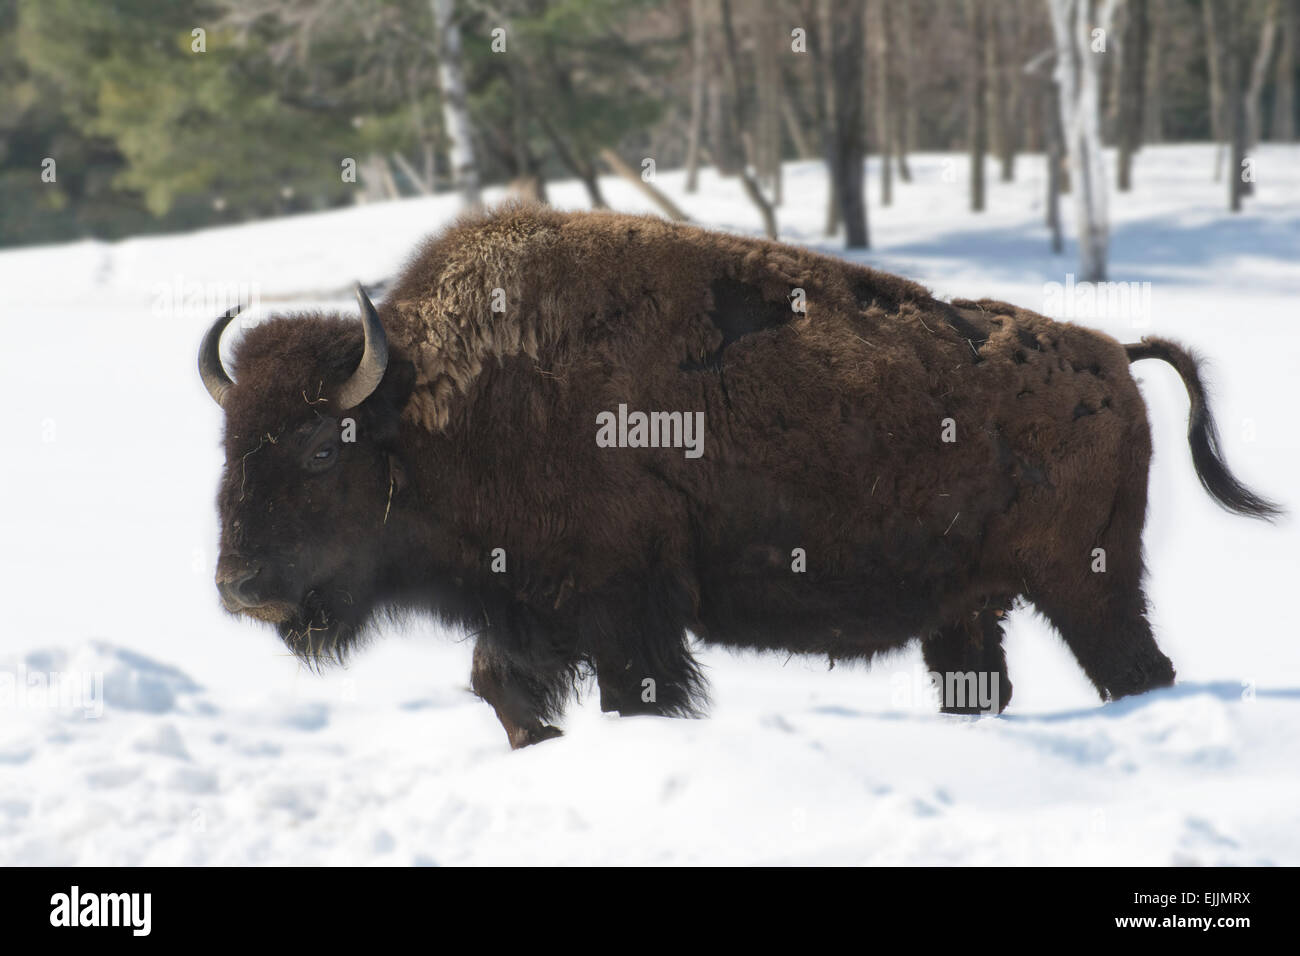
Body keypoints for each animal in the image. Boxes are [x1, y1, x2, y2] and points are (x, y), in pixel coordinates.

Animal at [200, 205, 1279, 749]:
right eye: (227, 442)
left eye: (320, 445)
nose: (241, 587)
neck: (436, 401)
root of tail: (1111, 356)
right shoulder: (527, 609)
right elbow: (503, 692)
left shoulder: (625, 606)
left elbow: (635, 696)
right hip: (970, 607)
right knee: (990, 687)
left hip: (1086, 581)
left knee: (1136, 672)